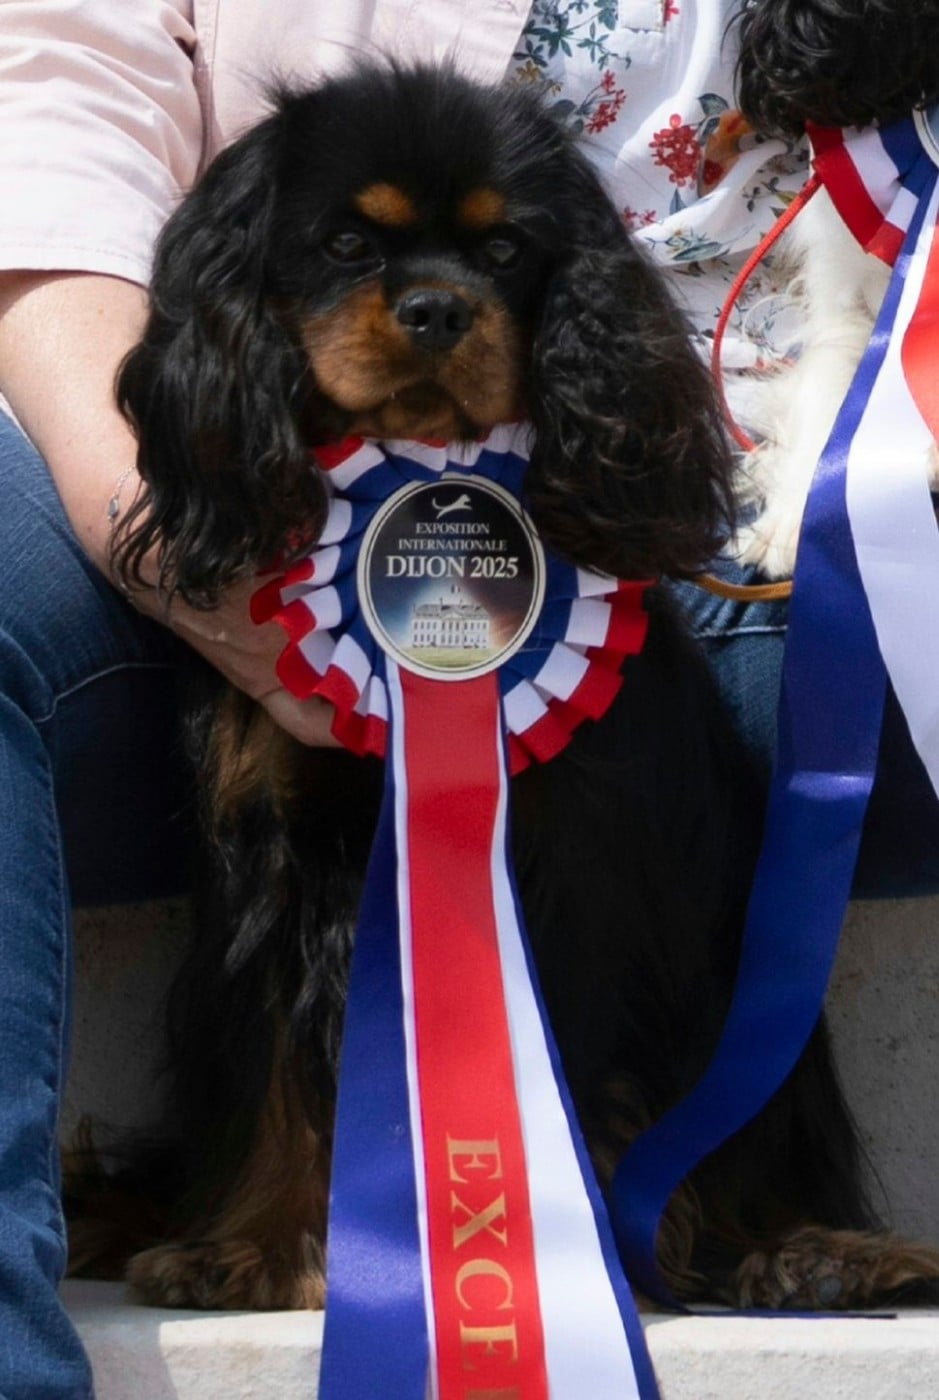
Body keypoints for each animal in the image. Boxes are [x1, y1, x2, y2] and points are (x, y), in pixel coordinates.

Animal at [77, 61, 939, 1316]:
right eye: (347, 242)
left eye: (503, 250)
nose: (437, 309)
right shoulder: (276, 864)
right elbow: (274, 1061)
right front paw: (250, 1247)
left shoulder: (567, 859)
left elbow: (569, 1061)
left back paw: (816, 1250)